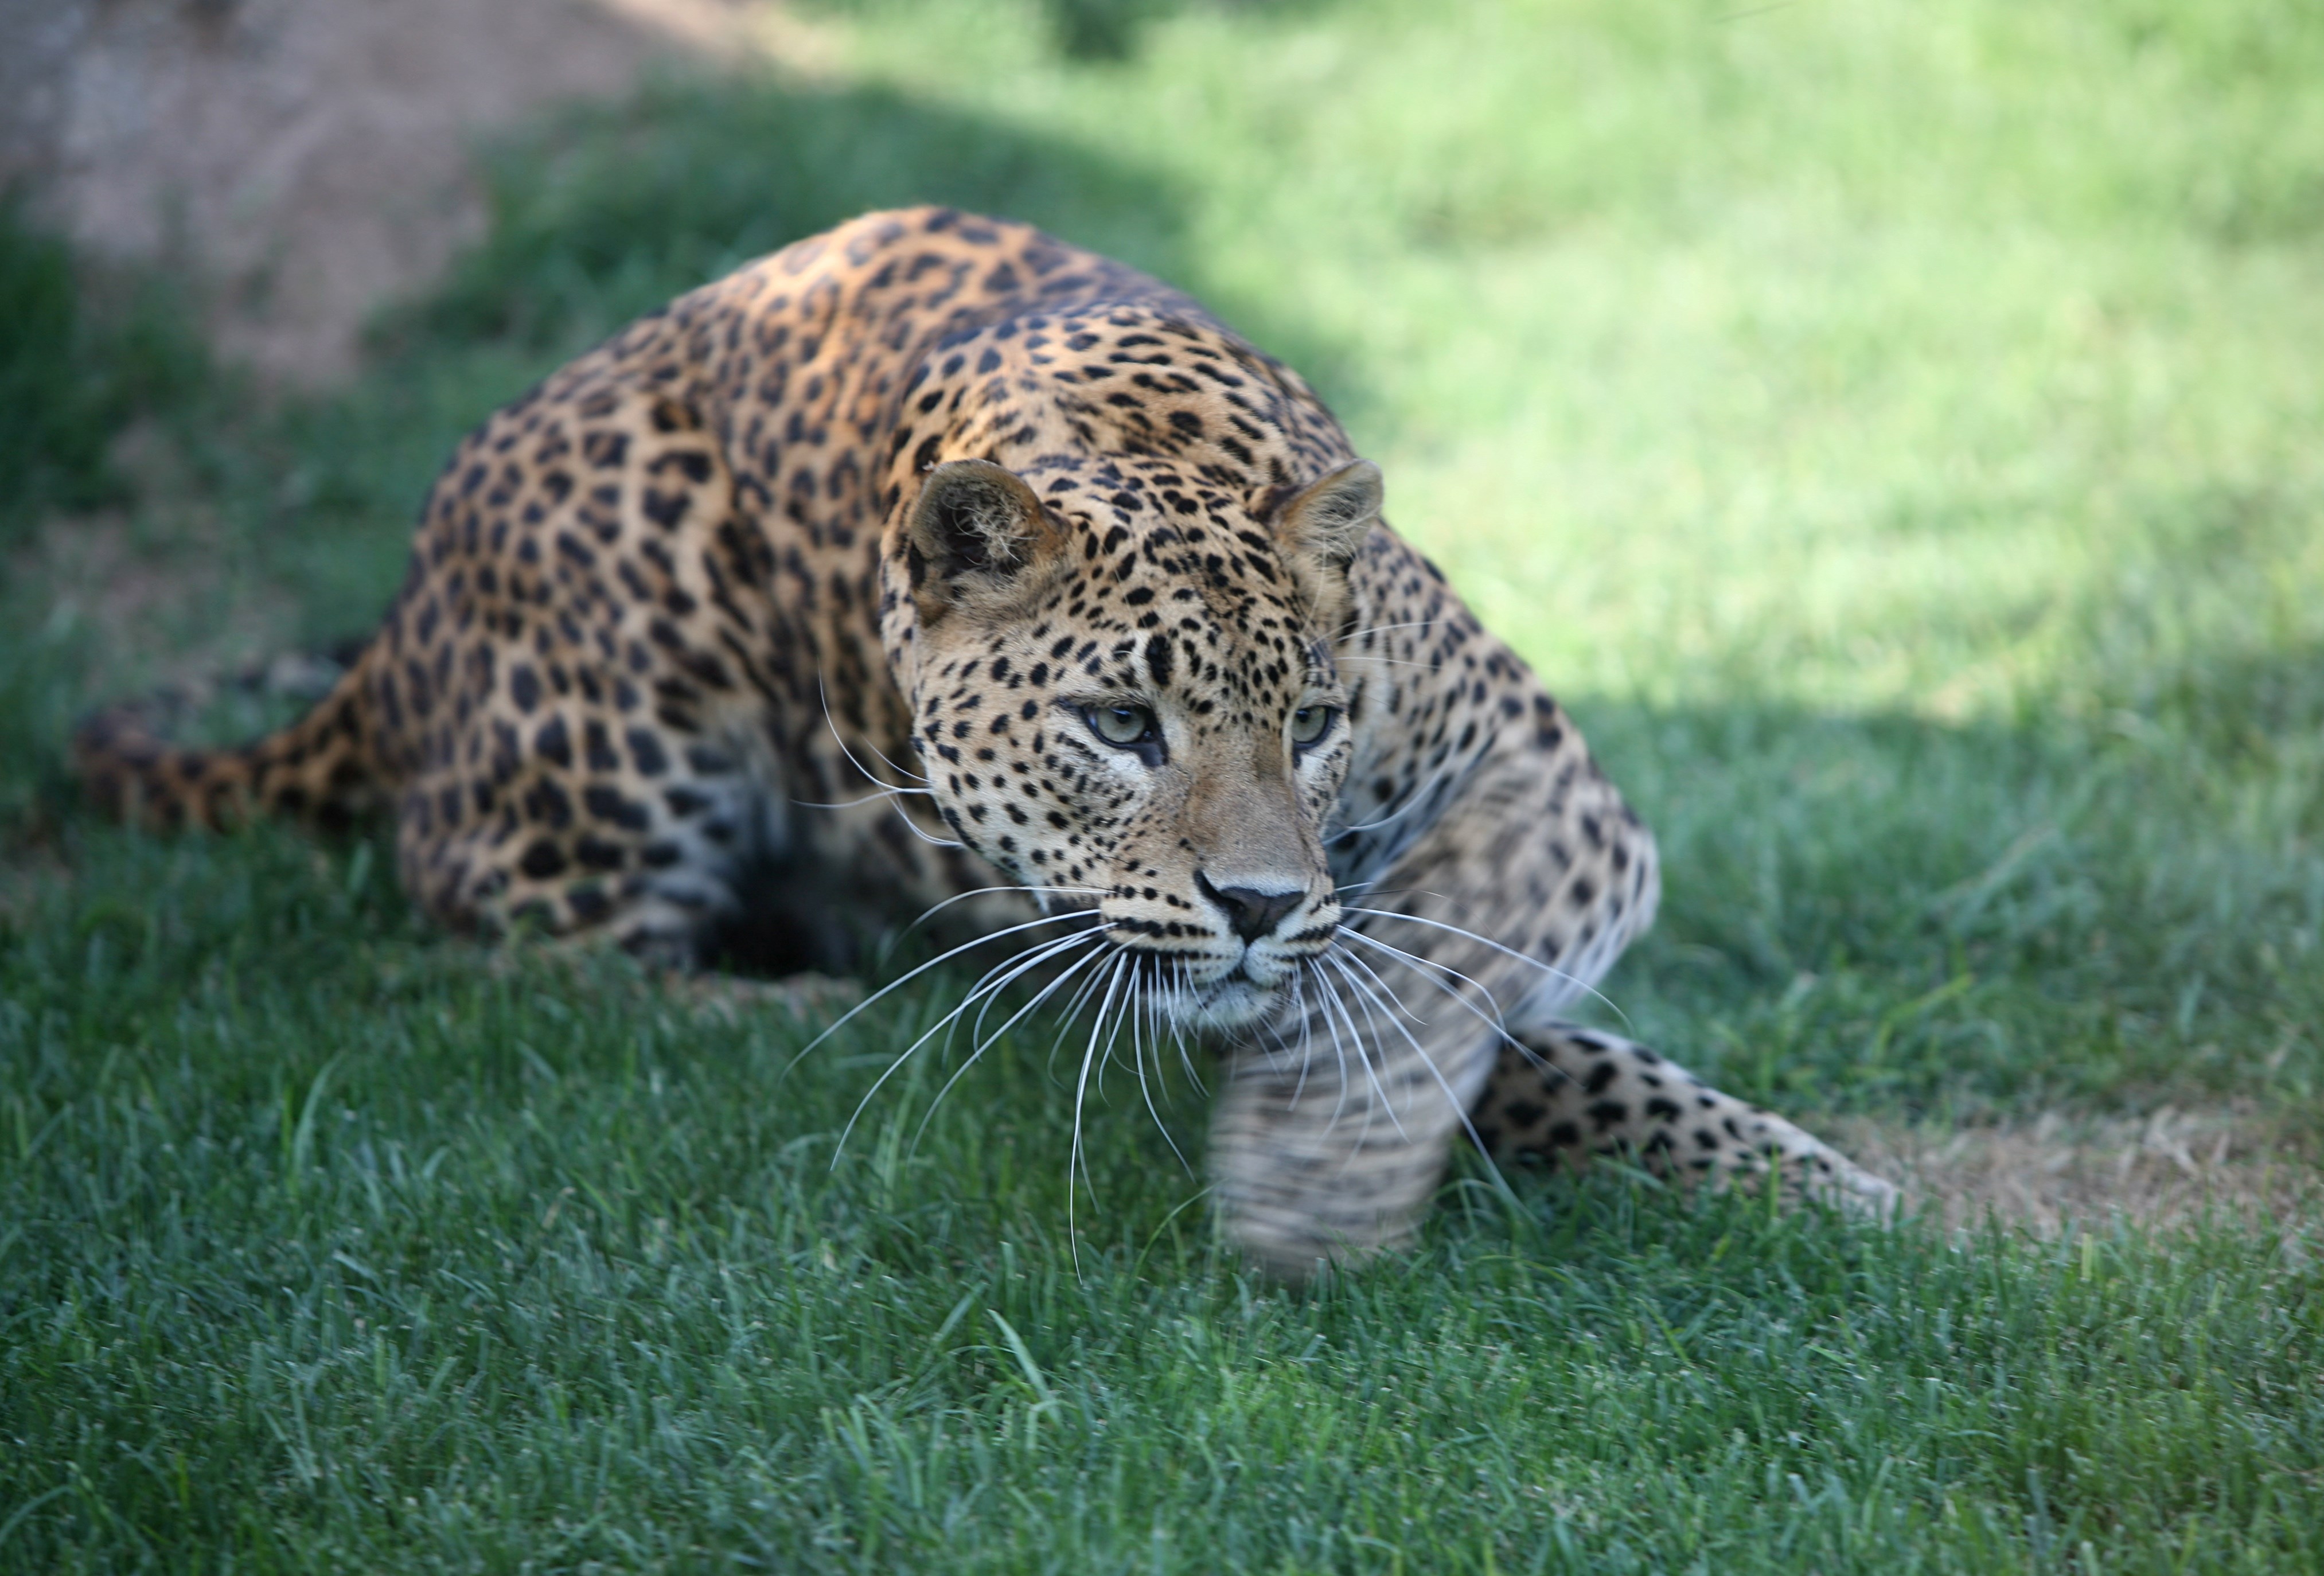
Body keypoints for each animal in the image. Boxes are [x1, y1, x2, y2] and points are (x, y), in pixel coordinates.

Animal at [76, 207, 1896, 1275]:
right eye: (1118, 723)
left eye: (1310, 722)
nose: (1256, 903)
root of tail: (395, 620)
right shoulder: (1160, 953)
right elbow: (1414, 1014)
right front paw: (1321, 1172)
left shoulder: (1542, 778)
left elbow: (1447, 968)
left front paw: (1815, 1183)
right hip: (616, 670)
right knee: (492, 958)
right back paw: (804, 1000)